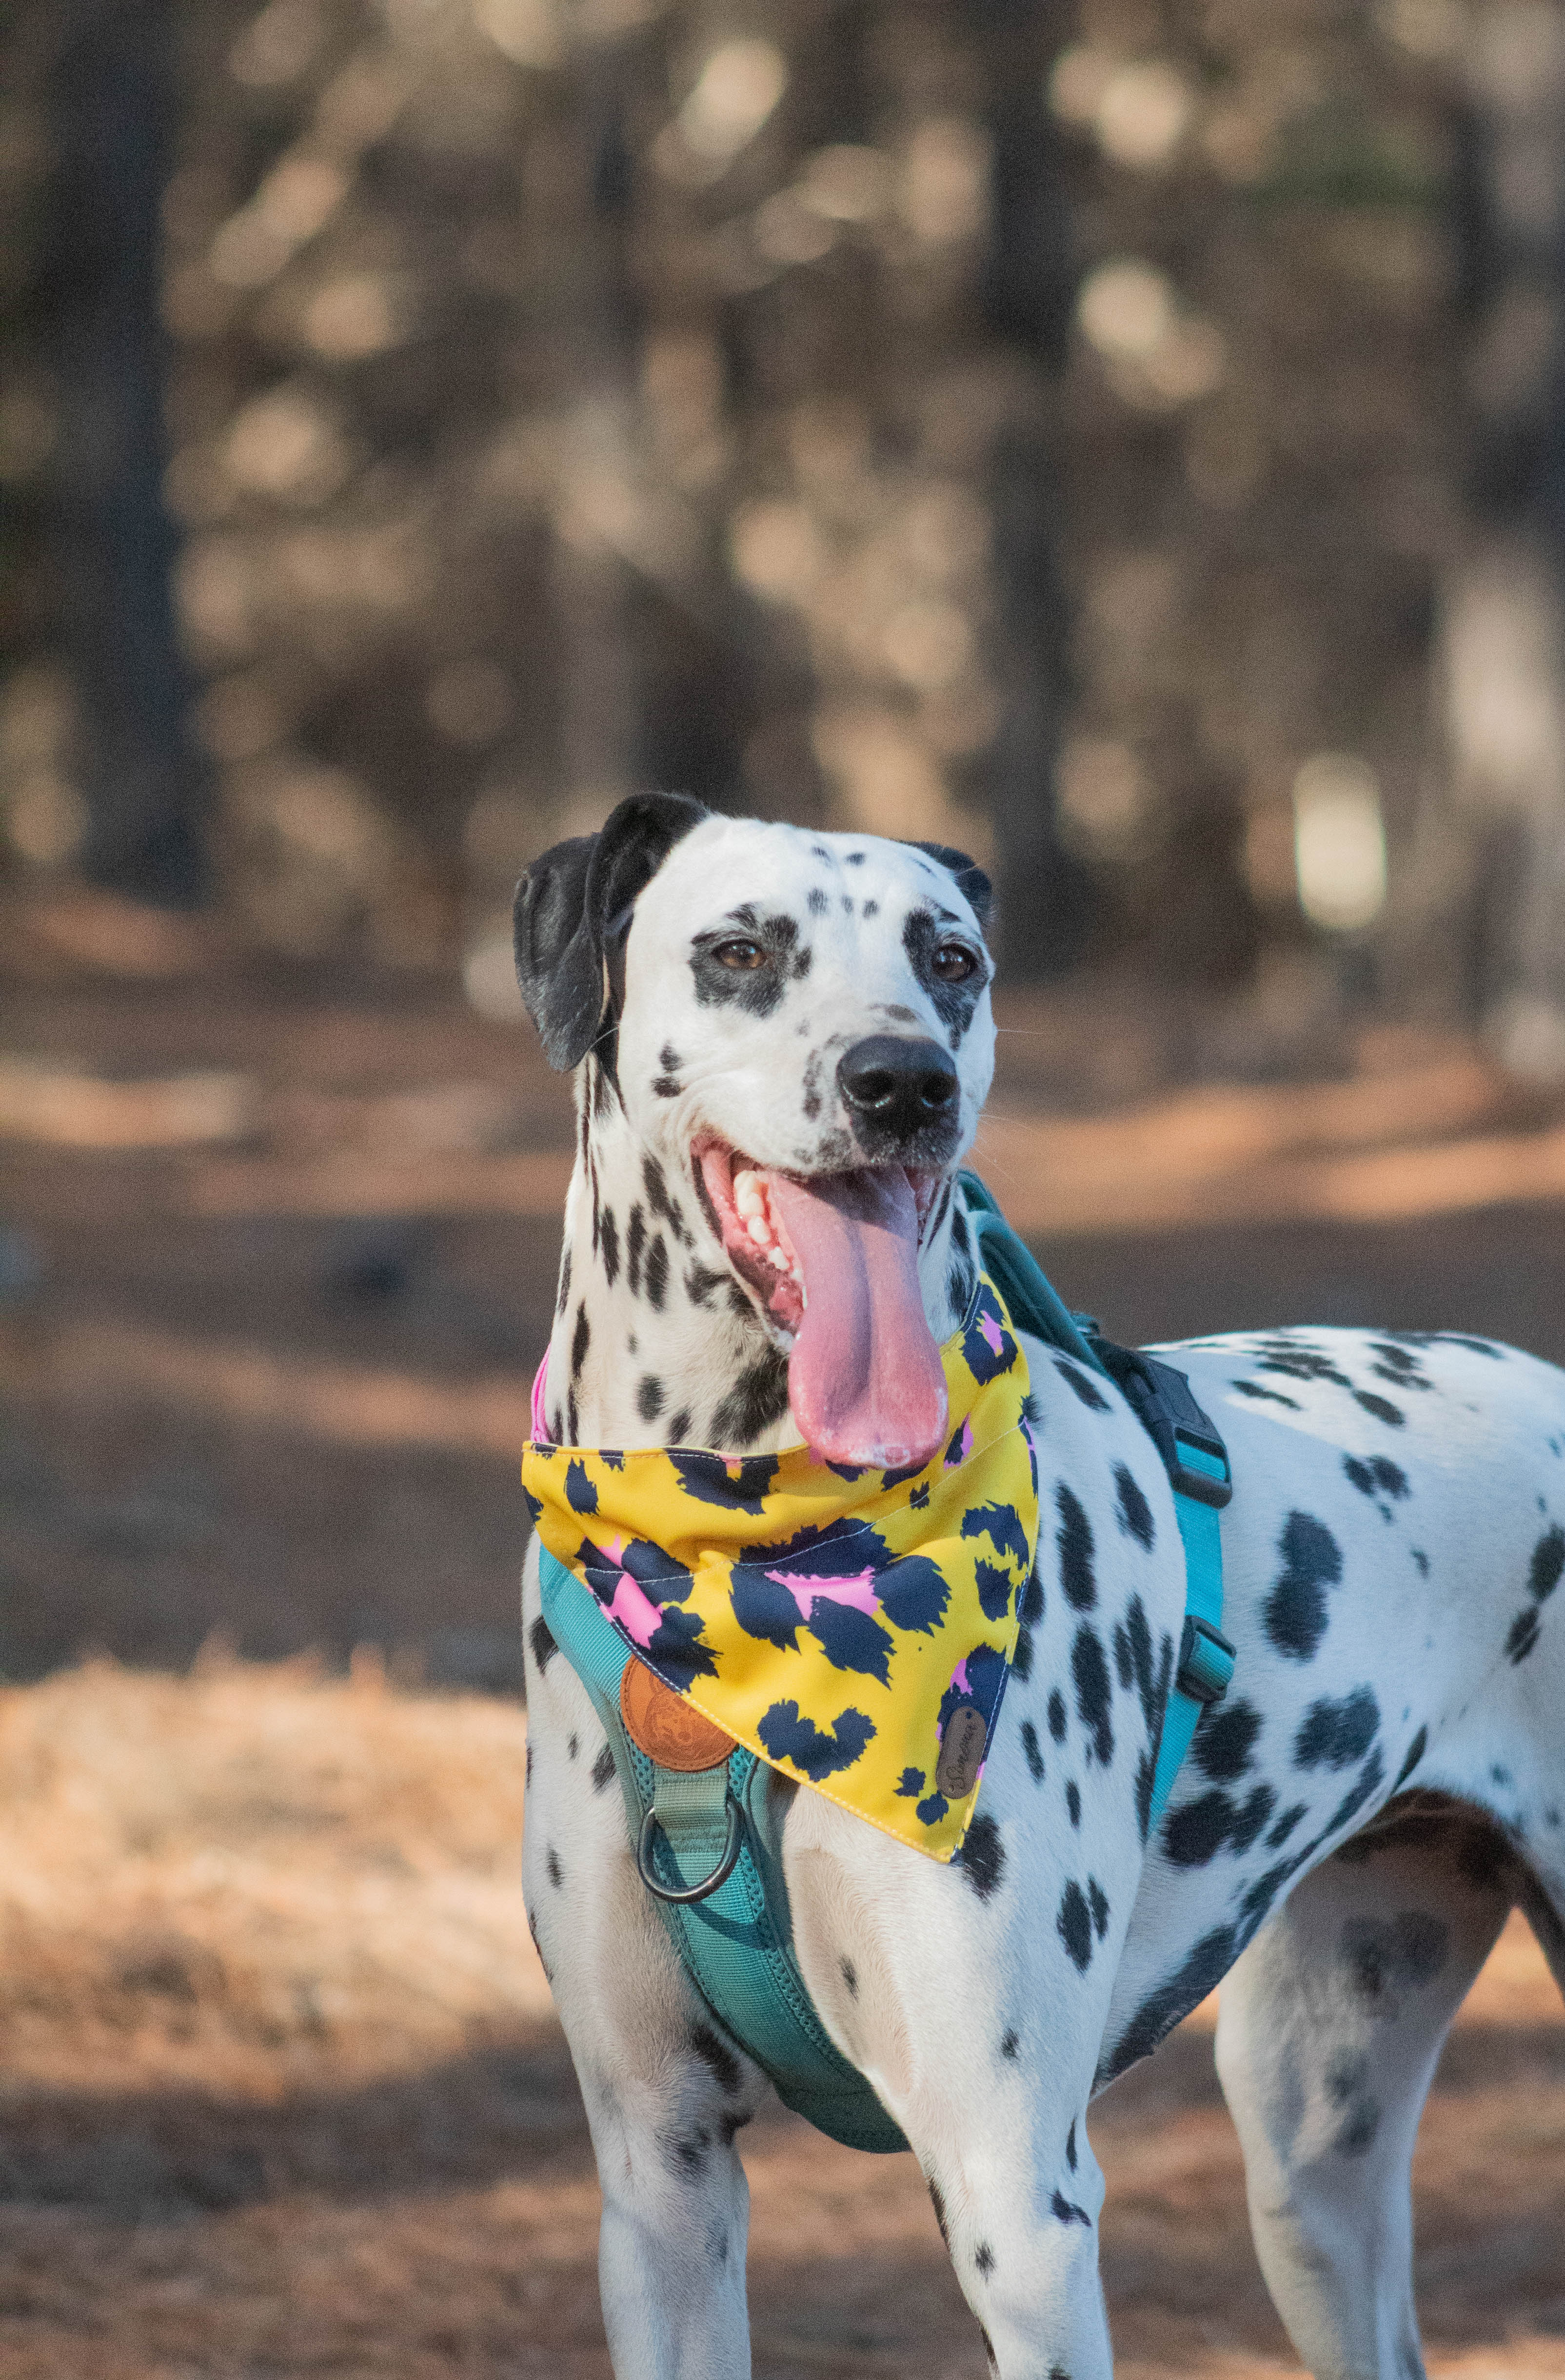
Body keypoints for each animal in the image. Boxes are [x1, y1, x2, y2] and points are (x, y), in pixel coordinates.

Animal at [516, 800, 1560, 2380]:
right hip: (1310, 2147)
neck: (738, 1560)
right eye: (740, 949)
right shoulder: (660, 2181)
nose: (903, 1081)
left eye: (947, 958)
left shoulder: (1016, 2199)